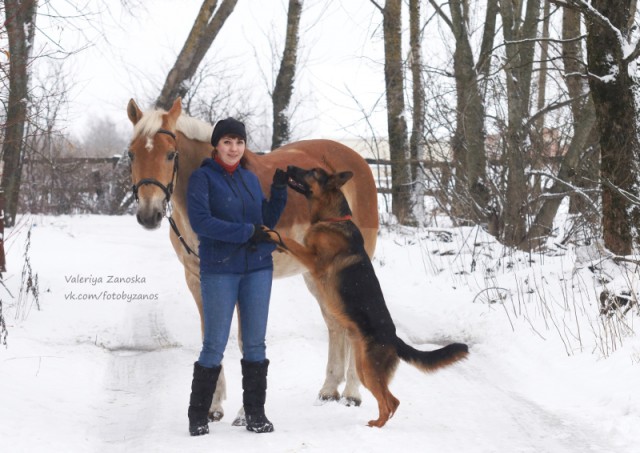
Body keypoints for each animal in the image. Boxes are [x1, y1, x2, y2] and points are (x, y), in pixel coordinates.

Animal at [125, 97, 380, 422]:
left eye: (171, 154)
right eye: (131, 154)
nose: (149, 214)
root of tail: (357, 162)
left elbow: (244, 339)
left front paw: (245, 414)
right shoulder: (199, 278)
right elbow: (211, 335)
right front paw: (213, 407)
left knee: (352, 324)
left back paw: (352, 394)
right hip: (316, 273)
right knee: (335, 323)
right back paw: (329, 390)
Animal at [272, 166, 470, 428]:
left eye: (312, 172)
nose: (288, 168)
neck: (332, 219)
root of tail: (395, 340)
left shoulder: (313, 260)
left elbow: (289, 241)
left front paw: (268, 231)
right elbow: (288, 244)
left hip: (368, 370)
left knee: (390, 401)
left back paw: (375, 426)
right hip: (363, 366)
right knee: (390, 400)